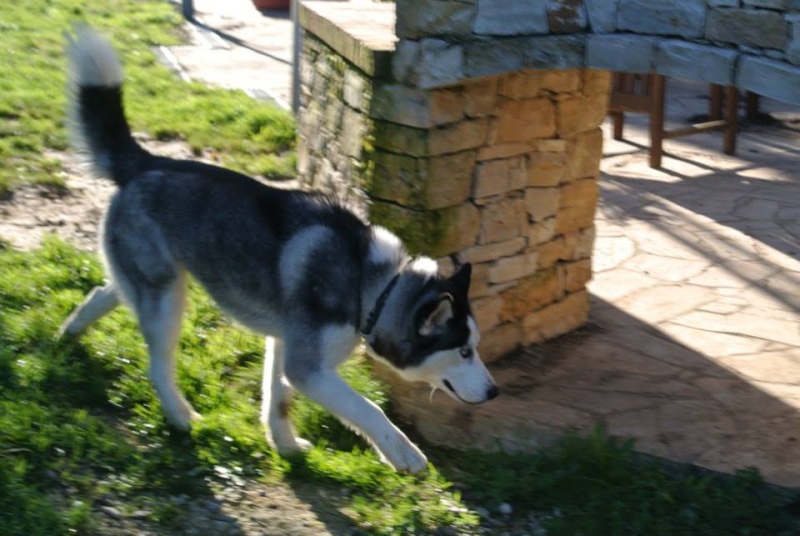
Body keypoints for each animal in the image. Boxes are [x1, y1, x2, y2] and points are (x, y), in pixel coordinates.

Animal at [62, 28, 496, 474]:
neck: (373, 289)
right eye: (464, 351)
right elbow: (369, 410)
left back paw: (69, 334)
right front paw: (404, 453)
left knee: (102, 292)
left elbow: (279, 401)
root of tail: (146, 163)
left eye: (475, 347)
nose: (494, 391)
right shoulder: (309, 368)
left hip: (149, 282)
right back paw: (181, 417)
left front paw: (284, 445)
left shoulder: (285, 345)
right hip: (167, 301)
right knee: (157, 364)